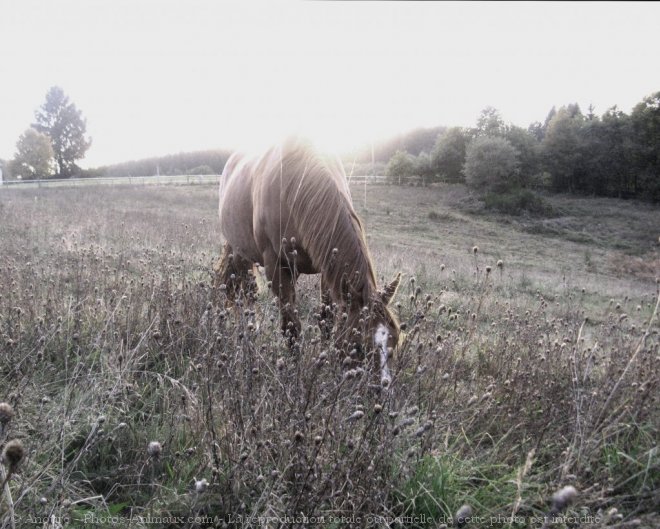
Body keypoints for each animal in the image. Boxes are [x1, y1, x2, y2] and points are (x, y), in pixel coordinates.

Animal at [217, 136, 402, 386]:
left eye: (395, 340)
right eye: (358, 346)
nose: (380, 392)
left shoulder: (327, 269)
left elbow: (326, 319)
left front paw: (324, 363)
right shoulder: (276, 266)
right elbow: (292, 327)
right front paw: (296, 375)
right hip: (240, 254)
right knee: (246, 296)